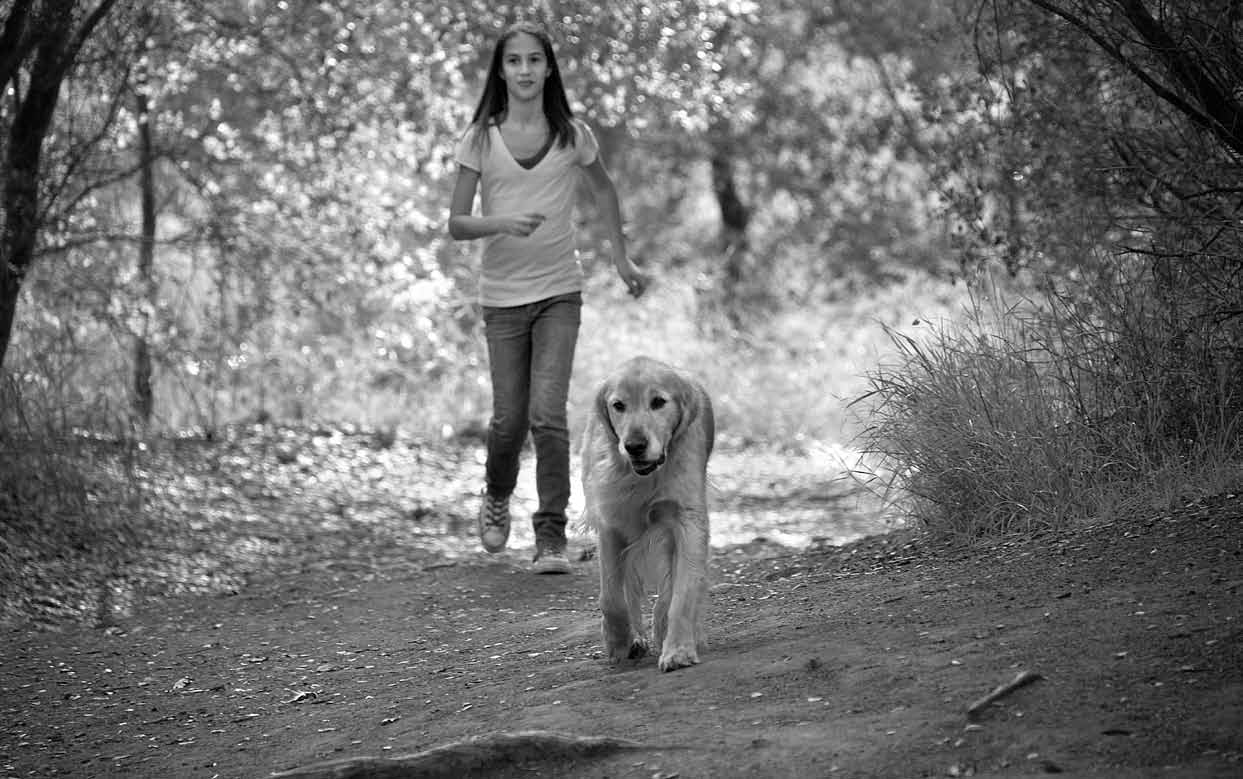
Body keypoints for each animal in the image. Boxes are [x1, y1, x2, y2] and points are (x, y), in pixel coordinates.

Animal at [579, 357, 715, 670]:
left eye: (658, 402)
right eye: (618, 405)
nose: (635, 446)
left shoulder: (686, 520)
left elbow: (680, 593)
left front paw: (677, 649)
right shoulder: (612, 522)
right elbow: (612, 598)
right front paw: (619, 641)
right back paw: (636, 638)